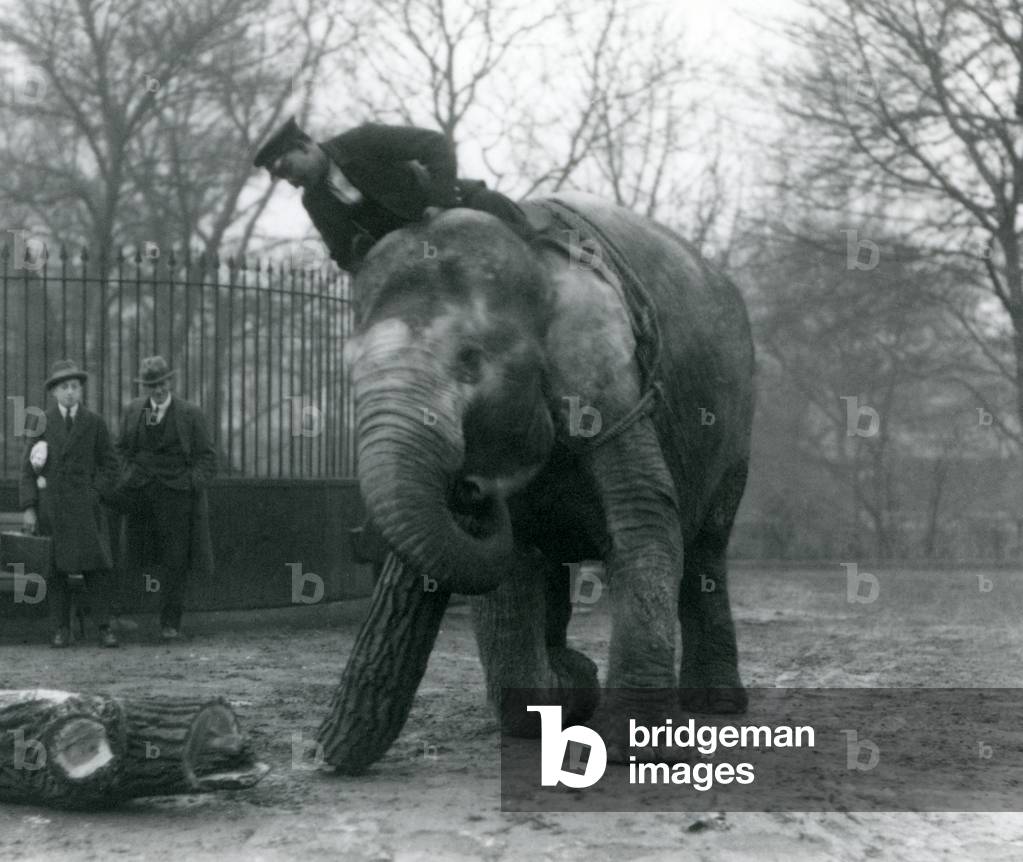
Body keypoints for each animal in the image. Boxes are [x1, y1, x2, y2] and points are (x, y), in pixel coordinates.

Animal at [317, 192, 754, 773]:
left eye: (471, 359)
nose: (472, 487)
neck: (536, 256)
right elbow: (511, 570)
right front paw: (569, 684)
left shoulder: (614, 386)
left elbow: (643, 518)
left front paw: (621, 745)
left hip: (737, 431)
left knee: (706, 548)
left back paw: (715, 705)